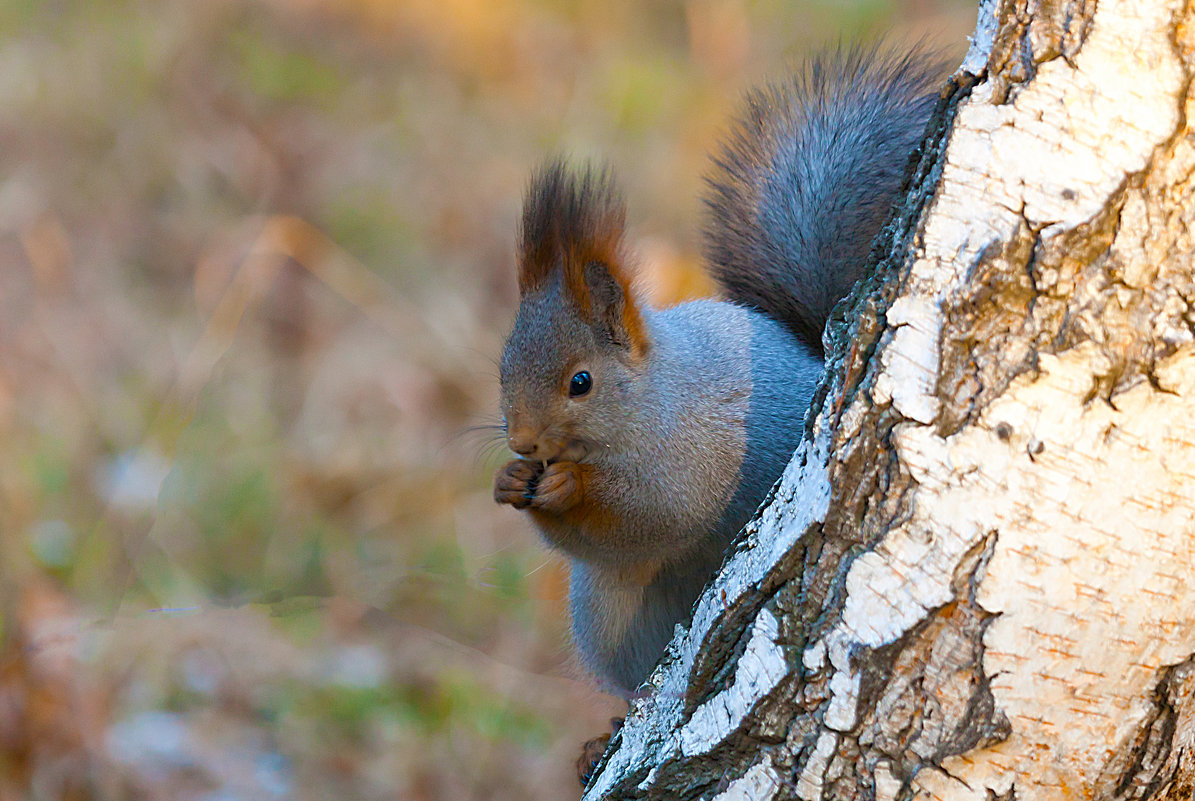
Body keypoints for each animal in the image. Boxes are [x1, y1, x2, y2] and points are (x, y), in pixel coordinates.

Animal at [492, 45, 941, 698]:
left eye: (581, 383)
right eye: (502, 368)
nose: (523, 441)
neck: (653, 397)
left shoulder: (696, 454)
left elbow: (651, 515)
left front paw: (564, 487)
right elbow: (593, 544)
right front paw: (509, 481)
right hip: (609, 615)